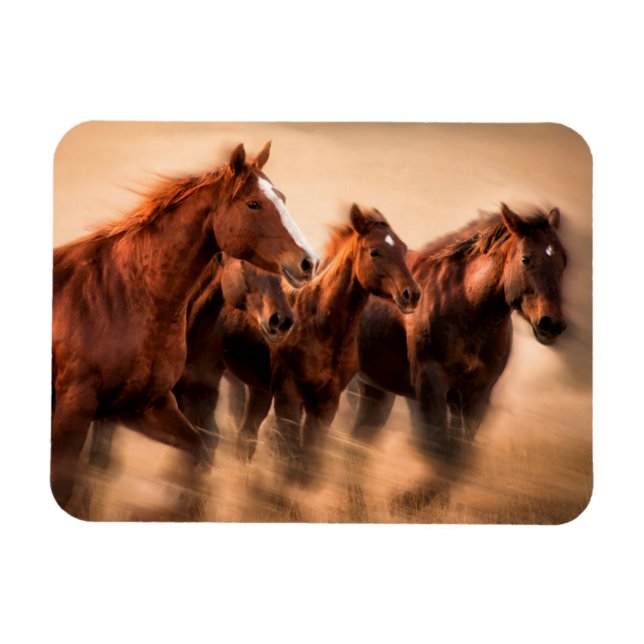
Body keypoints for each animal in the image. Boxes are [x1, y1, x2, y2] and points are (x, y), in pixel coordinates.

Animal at [52, 141, 318, 515]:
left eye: (281, 197)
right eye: (253, 203)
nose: (309, 262)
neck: (124, 294)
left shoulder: (149, 404)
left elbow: (197, 453)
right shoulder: (77, 409)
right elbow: (69, 482)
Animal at [223, 204, 421, 483]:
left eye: (403, 249)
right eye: (375, 251)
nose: (411, 295)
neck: (321, 327)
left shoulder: (327, 402)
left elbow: (310, 458)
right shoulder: (289, 395)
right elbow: (290, 452)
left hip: (258, 389)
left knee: (245, 436)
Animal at [350, 203, 568, 510]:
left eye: (563, 260)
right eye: (526, 259)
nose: (552, 324)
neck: (467, 305)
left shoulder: (476, 396)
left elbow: (459, 460)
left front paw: (415, 502)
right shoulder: (431, 384)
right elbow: (439, 449)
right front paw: (406, 501)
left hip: (375, 391)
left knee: (357, 441)